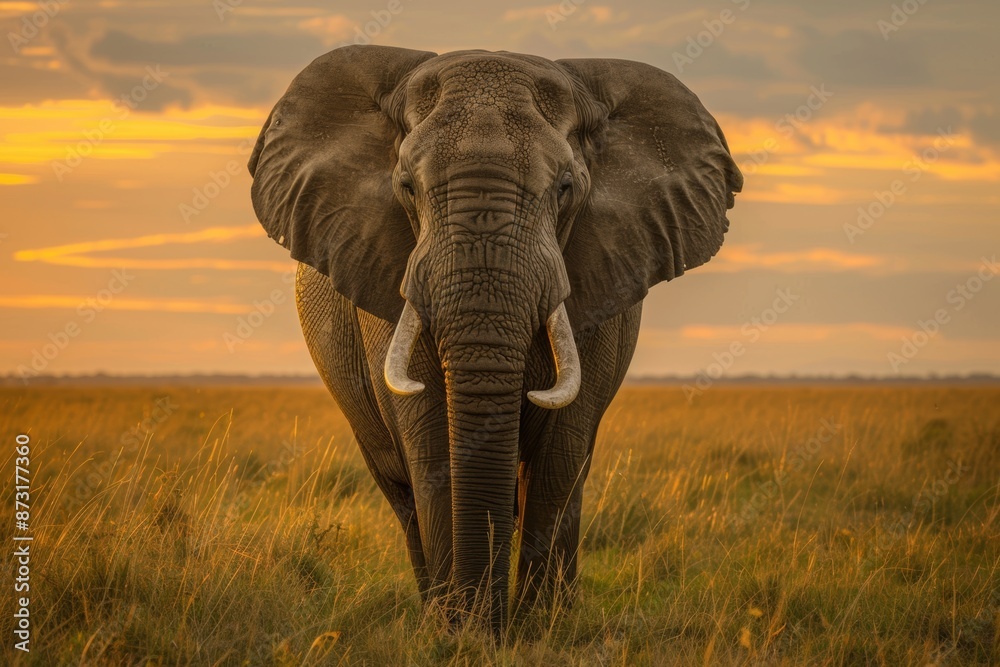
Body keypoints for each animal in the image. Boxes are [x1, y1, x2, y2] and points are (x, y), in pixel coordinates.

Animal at [248, 45, 742, 632]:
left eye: (566, 189)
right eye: (407, 188)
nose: (487, 625)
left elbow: (561, 453)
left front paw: (537, 627)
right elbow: (430, 443)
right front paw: (456, 632)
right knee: (399, 488)